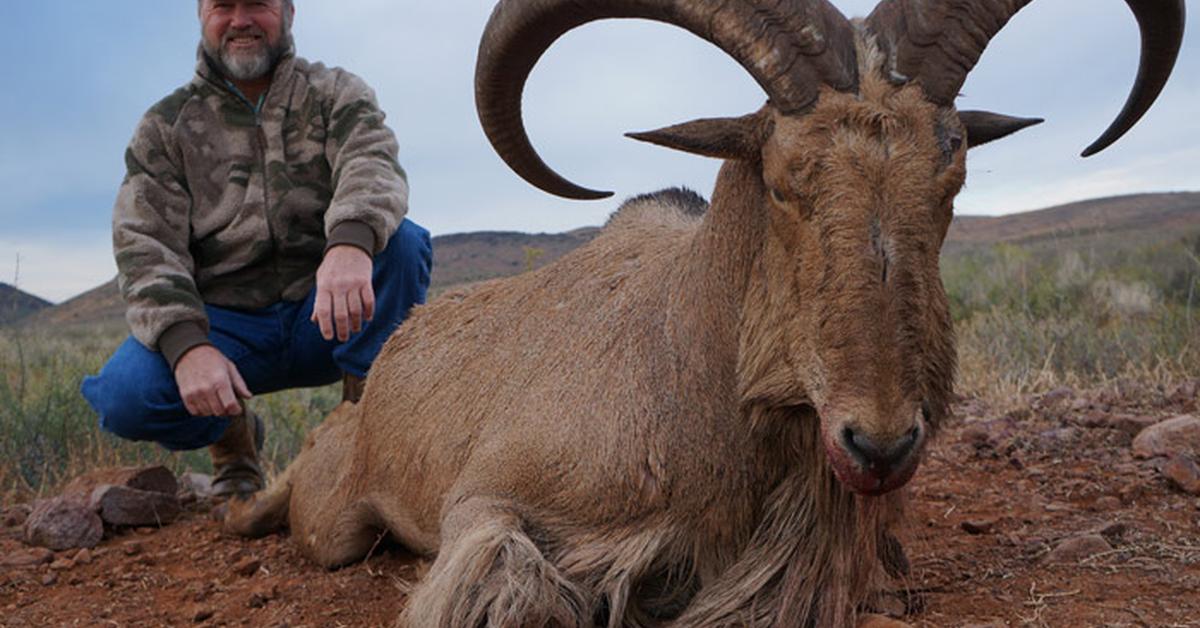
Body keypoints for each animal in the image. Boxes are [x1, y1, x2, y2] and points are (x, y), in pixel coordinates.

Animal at [226, 0, 1190, 624]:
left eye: (951, 169)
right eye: (782, 176)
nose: (878, 445)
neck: (686, 363)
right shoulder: (488, 502)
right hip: (335, 516)